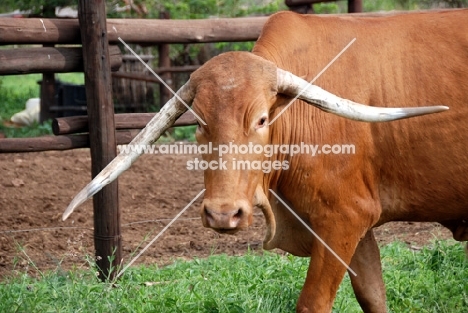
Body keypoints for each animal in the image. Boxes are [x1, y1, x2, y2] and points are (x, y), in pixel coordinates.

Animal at [64, 9, 468, 312]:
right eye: (199, 122)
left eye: (261, 119)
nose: (223, 214)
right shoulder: (356, 225)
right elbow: (373, 296)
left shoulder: (344, 218)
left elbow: (312, 303)